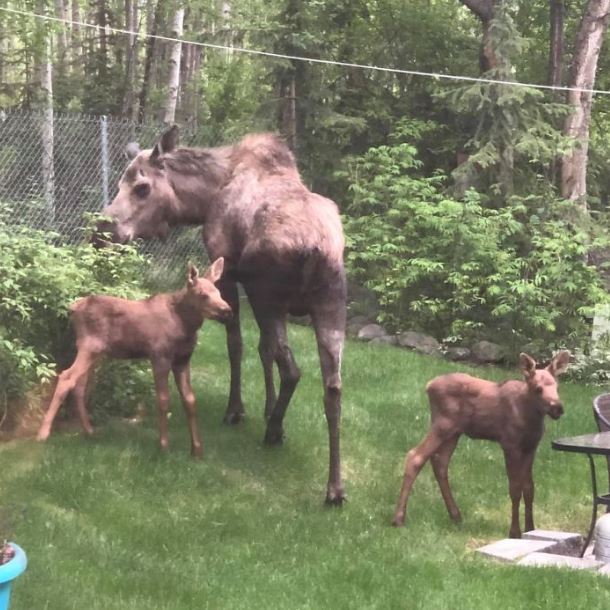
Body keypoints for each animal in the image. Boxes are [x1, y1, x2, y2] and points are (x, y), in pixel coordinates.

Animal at [36, 258, 230, 456]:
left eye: (219, 292)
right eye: (203, 294)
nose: (227, 310)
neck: (185, 326)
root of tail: (72, 309)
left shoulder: (183, 359)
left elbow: (190, 400)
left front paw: (197, 450)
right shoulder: (159, 355)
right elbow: (163, 400)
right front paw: (163, 446)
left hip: (95, 353)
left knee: (79, 384)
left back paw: (89, 431)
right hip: (88, 346)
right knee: (66, 377)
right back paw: (42, 434)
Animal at [97, 126, 350, 502]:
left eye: (142, 186)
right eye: (118, 184)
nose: (102, 232)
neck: (204, 200)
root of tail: (316, 248)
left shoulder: (228, 273)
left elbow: (238, 345)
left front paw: (237, 410)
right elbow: (262, 351)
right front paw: (266, 408)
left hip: (268, 295)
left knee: (292, 369)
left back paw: (274, 432)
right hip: (331, 303)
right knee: (332, 386)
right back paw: (334, 487)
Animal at [392, 350, 568, 536]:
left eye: (557, 386)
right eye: (538, 388)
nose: (558, 407)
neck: (529, 417)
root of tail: (429, 386)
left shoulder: (531, 446)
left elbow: (529, 489)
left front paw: (530, 529)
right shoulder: (509, 443)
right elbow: (515, 488)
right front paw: (514, 532)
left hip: (453, 432)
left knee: (440, 462)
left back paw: (455, 515)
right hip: (442, 424)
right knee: (415, 456)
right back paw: (399, 518)